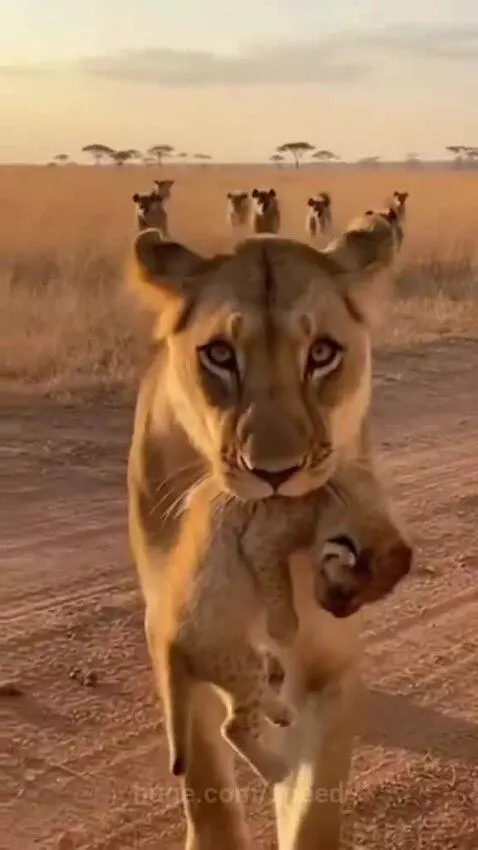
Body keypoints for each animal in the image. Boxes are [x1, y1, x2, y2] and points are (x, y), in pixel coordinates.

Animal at [127, 211, 405, 849]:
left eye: (322, 353)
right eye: (220, 355)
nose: (274, 474)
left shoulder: (329, 666)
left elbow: (313, 808)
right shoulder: (176, 626)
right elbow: (206, 787)